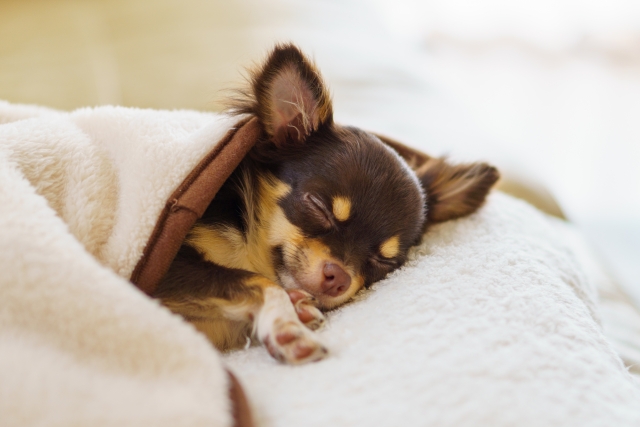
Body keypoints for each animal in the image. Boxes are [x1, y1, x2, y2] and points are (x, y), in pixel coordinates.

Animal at [151, 44, 500, 364]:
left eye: (386, 261)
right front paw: (286, 326)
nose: (340, 278)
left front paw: (296, 307)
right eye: (318, 206)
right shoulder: (162, 273)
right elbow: (260, 282)